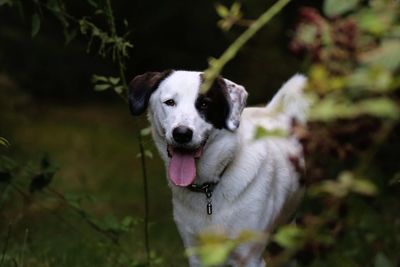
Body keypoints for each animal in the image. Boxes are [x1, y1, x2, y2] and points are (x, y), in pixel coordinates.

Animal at [128, 70, 306, 266]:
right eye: (170, 102)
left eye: (205, 104)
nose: (182, 134)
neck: (207, 187)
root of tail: (272, 111)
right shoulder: (197, 253)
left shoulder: (248, 256)